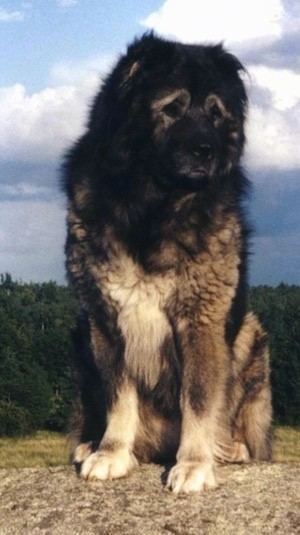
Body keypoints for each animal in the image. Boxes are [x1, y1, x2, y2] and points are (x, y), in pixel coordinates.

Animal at [63, 33, 272, 494]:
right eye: (172, 108)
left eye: (215, 114)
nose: (206, 150)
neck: (154, 206)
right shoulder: (104, 319)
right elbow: (119, 396)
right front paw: (111, 453)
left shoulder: (200, 319)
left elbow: (198, 399)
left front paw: (194, 464)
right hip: (80, 337)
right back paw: (92, 444)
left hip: (251, 335)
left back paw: (230, 450)